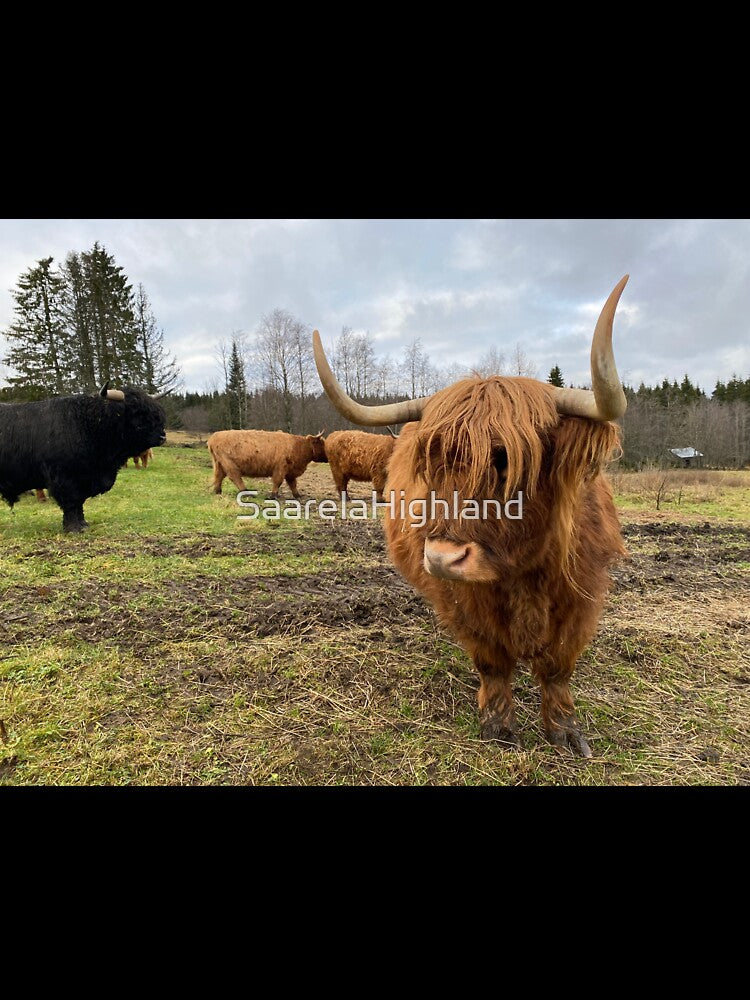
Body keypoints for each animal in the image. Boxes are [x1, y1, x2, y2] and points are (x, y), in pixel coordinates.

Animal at [0, 384, 167, 532]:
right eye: (137, 413)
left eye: (156, 412)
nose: (162, 436)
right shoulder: (64, 479)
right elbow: (71, 503)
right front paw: (73, 528)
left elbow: (79, 503)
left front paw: (83, 524)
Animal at [312, 276, 631, 757]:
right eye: (433, 461)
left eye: (505, 460)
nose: (442, 558)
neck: (525, 573)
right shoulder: (466, 602)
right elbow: (492, 663)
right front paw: (499, 726)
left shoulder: (581, 597)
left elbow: (558, 668)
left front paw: (566, 732)